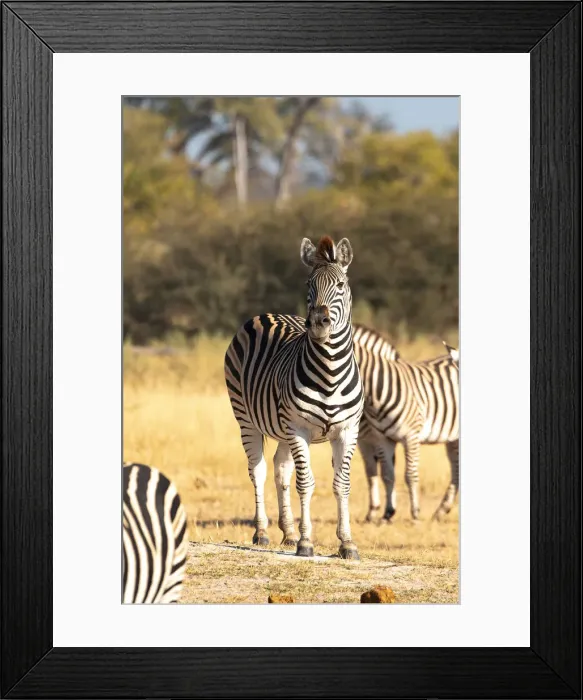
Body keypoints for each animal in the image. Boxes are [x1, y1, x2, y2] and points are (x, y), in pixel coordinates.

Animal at [224, 236, 364, 560]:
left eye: (340, 284)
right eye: (308, 284)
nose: (318, 323)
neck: (329, 373)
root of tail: (267, 314)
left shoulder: (347, 430)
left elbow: (342, 483)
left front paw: (347, 543)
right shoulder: (299, 428)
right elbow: (306, 483)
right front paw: (306, 542)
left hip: (283, 427)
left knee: (280, 469)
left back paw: (287, 532)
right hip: (247, 419)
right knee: (259, 470)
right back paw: (262, 532)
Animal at [353, 326, 459, 522]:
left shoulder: (410, 436)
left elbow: (409, 475)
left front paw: (415, 513)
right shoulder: (379, 439)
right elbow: (384, 474)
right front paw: (385, 513)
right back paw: (441, 510)